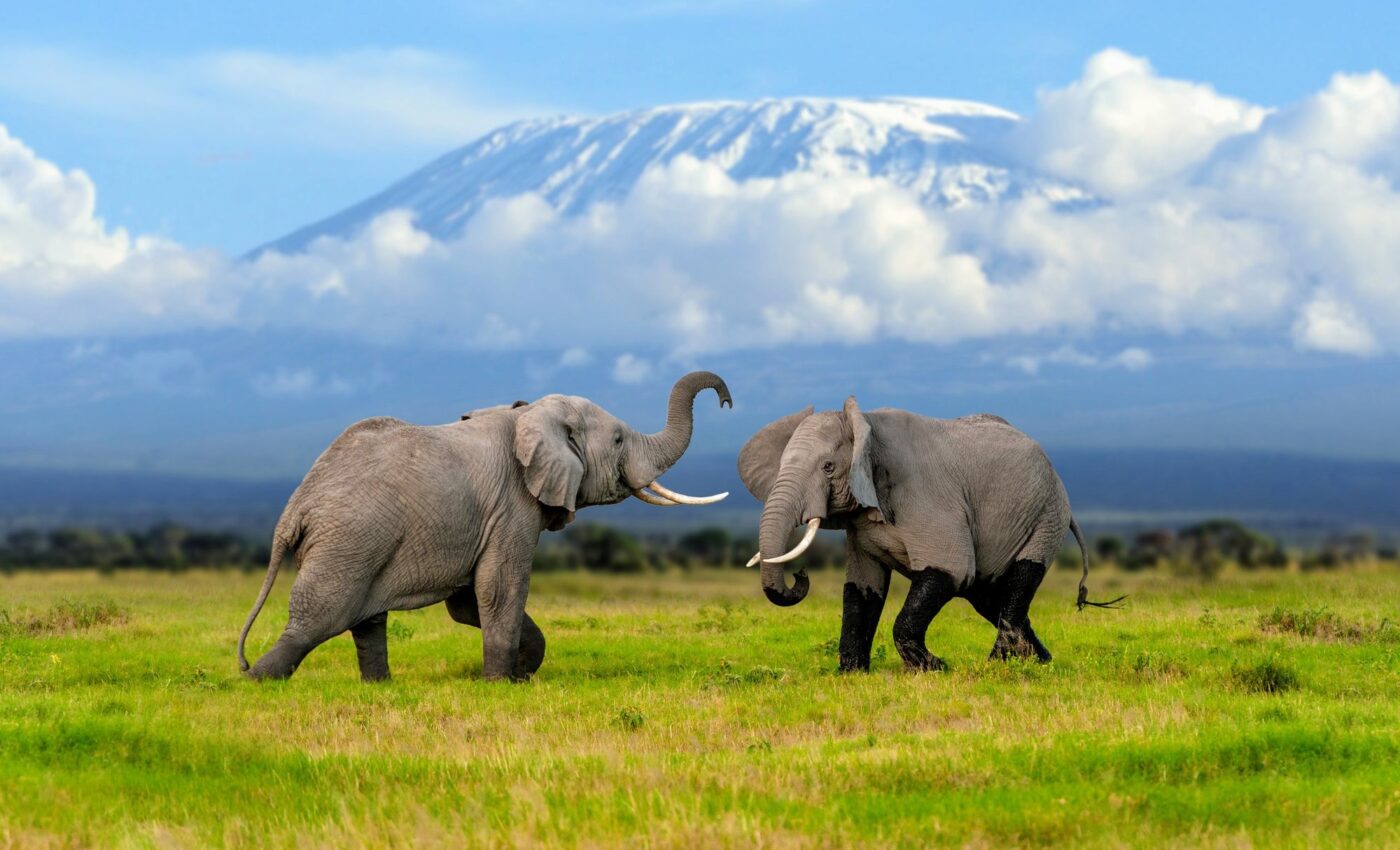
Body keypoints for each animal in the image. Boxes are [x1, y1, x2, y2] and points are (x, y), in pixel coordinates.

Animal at [237, 371, 733, 683]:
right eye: (617, 440)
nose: (726, 400)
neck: (530, 414)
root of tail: (295, 508)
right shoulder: (512, 506)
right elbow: (500, 587)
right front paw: (499, 683)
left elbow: (468, 602)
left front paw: (521, 673)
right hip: (349, 540)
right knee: (319, 619)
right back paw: (257, 681)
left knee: (366, 621)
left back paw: (379, 686)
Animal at [737, 397, 1121, 673]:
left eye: (828, 468)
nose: (800, 575)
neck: (865, 425)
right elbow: (863, 587)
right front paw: (851, 674)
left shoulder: (926, 497)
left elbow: (950, 569)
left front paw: (934, 668)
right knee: (988, 597)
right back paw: (1040, 662)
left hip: (1046, 515)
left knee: (1018, 582)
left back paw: (1000, 665)